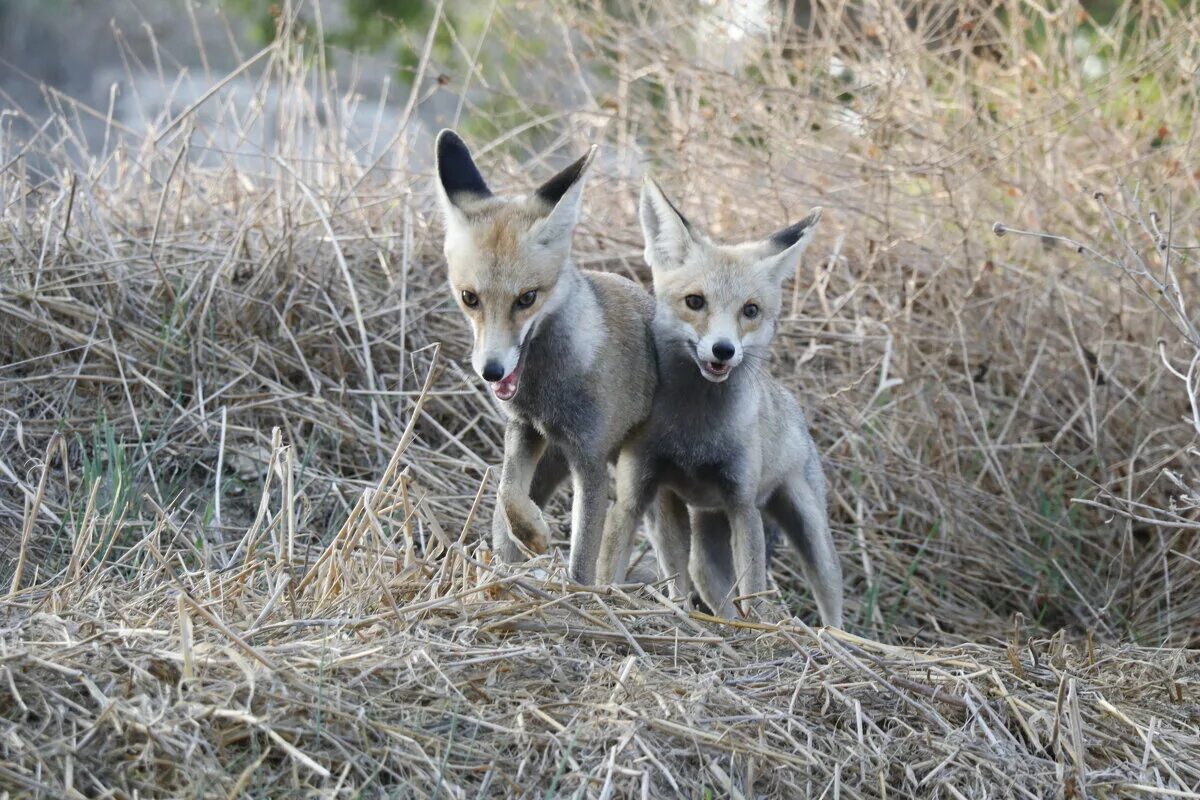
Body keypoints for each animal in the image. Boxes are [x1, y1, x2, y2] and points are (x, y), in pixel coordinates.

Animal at [432, 130, 657, 582]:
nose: (491, 371)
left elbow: (582, 560)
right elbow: (506, 492)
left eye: (526, 298)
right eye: (469, 298)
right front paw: (530, 534)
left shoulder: (590, 460)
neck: (546, 394)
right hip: (552, 463)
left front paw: (580, 593)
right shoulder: (523, 430)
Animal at [592, 178, 844, 628]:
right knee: (715, 594)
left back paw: (836, 639)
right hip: (706, 549)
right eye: (695, 302)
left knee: (830, 604)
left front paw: (758, 631)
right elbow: (628, 573)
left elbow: (754, 593)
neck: (695, 432)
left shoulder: (742, 503)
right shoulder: (645, 491)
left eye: (750, 310)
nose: (724, 351)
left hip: (810, 532)